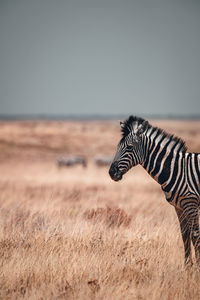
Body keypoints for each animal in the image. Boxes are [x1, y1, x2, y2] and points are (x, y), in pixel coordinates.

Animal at [109, 115, 200, 268]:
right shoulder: (179, 206)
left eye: (129, 147)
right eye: (117, 147)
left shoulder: (191, 203)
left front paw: (197, 267)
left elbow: (195, 234)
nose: (111, 172)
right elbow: (185, 234)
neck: (177, 169)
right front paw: (188, 267)